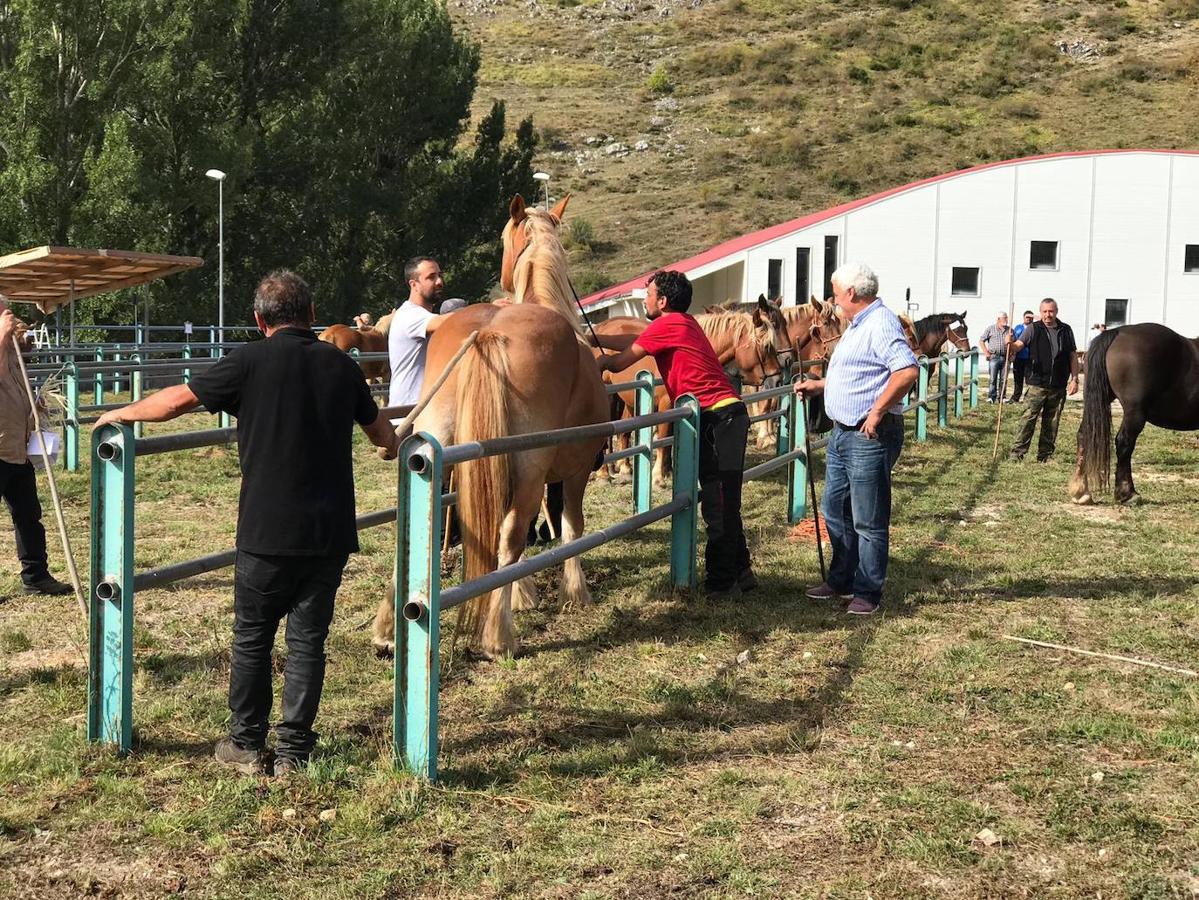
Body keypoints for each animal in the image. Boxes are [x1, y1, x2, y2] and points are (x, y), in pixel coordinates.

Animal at [1069, 323, 1199, 508]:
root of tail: (1117, 332)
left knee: (1084, 435)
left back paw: (1081, 492)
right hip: (1135, 412)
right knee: (1124, 443)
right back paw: (1127, 494)